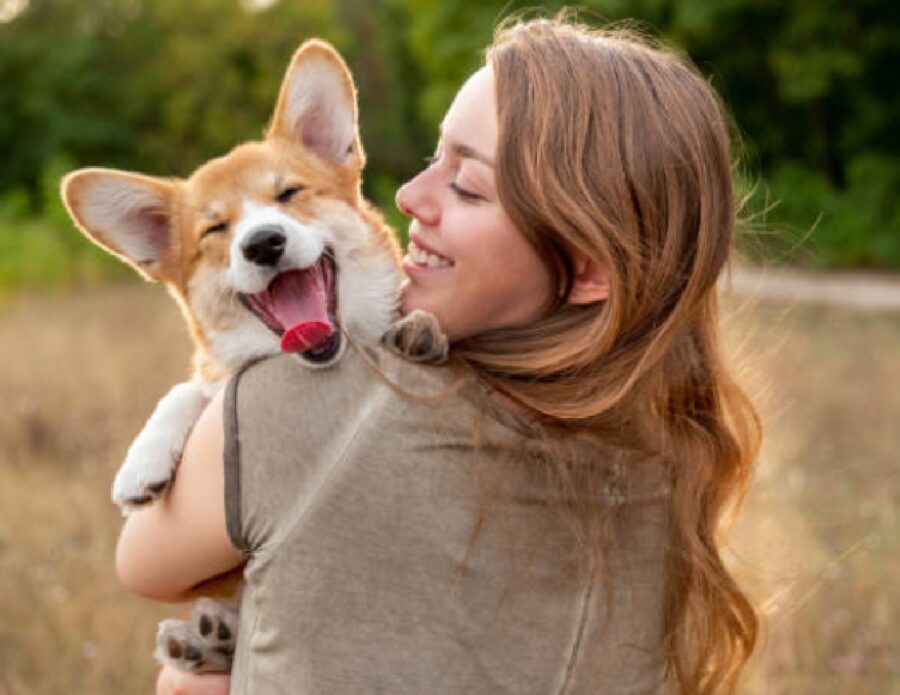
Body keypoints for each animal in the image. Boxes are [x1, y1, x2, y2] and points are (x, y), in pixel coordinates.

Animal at [59, 39, 446, 676]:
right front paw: (142, 465)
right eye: (215, 230)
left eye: (288, 194)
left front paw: (420, 328)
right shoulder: (216, 378)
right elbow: (188, 389)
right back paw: (203, 640)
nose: (263, 243)